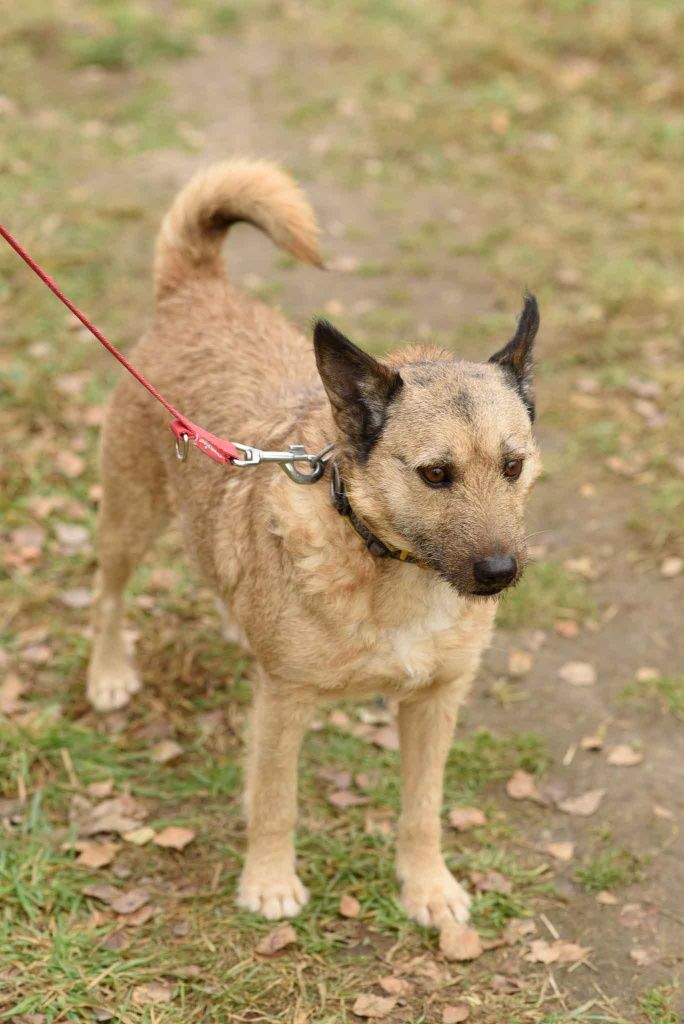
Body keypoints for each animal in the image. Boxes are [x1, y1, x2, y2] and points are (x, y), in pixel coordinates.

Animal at [87, 159, 540, 929]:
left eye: (513, 466)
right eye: (435, 474)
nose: (500, 573)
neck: (387, 565)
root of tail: (197, 291)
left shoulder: (436, 703)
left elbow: (422, 811)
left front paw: (427, 887)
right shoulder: (285, 703)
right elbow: (275, 803)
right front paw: (269, 882)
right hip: (130, 518)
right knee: (107, 594)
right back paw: (109, 673)